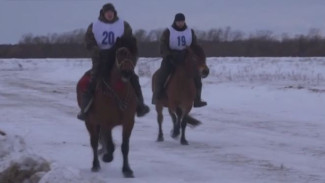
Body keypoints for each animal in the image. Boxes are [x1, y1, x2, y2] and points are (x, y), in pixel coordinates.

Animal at [77, 36, 138, 178]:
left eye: (134, 53)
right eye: (120, 53)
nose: (127, 73)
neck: (118, 94)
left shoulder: (128, 123)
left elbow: (125, 147)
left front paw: (127, 170)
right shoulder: (105, 123)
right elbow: (109, 144)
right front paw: (107, 157)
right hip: (90, 122)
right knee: (94, 142)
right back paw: (96, 164)